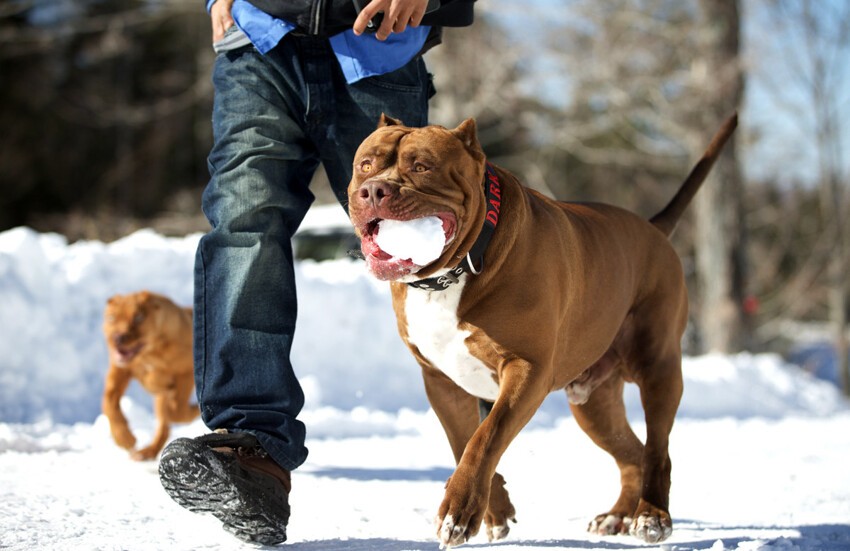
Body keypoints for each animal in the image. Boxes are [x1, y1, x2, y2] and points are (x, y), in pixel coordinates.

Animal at [344, 113, 736, 548]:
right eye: (366, 164)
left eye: (421, 166)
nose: (373, 190)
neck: (456, 270)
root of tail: (652, 229)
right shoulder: (441, 382)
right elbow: (463, 440)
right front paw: (493, 511)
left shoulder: (525, 369)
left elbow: (486, 437)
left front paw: (458, 512)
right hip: (593, 403)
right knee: (632, 453)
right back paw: (617, 515)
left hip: (658, 367)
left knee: (657, 448)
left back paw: (651, 516)